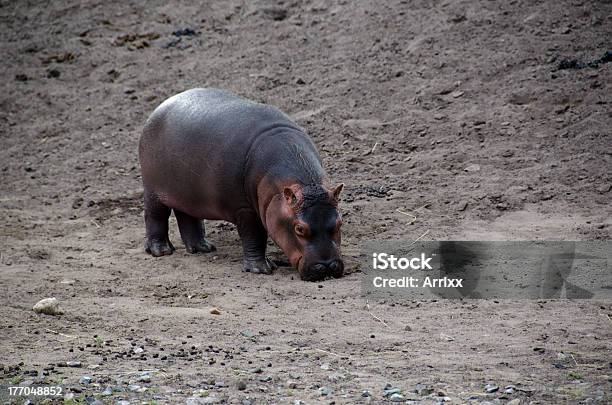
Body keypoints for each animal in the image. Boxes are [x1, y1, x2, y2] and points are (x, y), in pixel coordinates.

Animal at [139, 87, 346, 280]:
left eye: (339, 223)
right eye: (299, 229)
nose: (327, 267)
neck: (304, 183)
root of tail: (159, 107)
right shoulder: (245, 209)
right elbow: (254, 236)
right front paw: (261, 269)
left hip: (188, 194)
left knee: (188, 217)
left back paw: (203, 248)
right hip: (152, 190)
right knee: (155, 216)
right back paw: (161, 251)